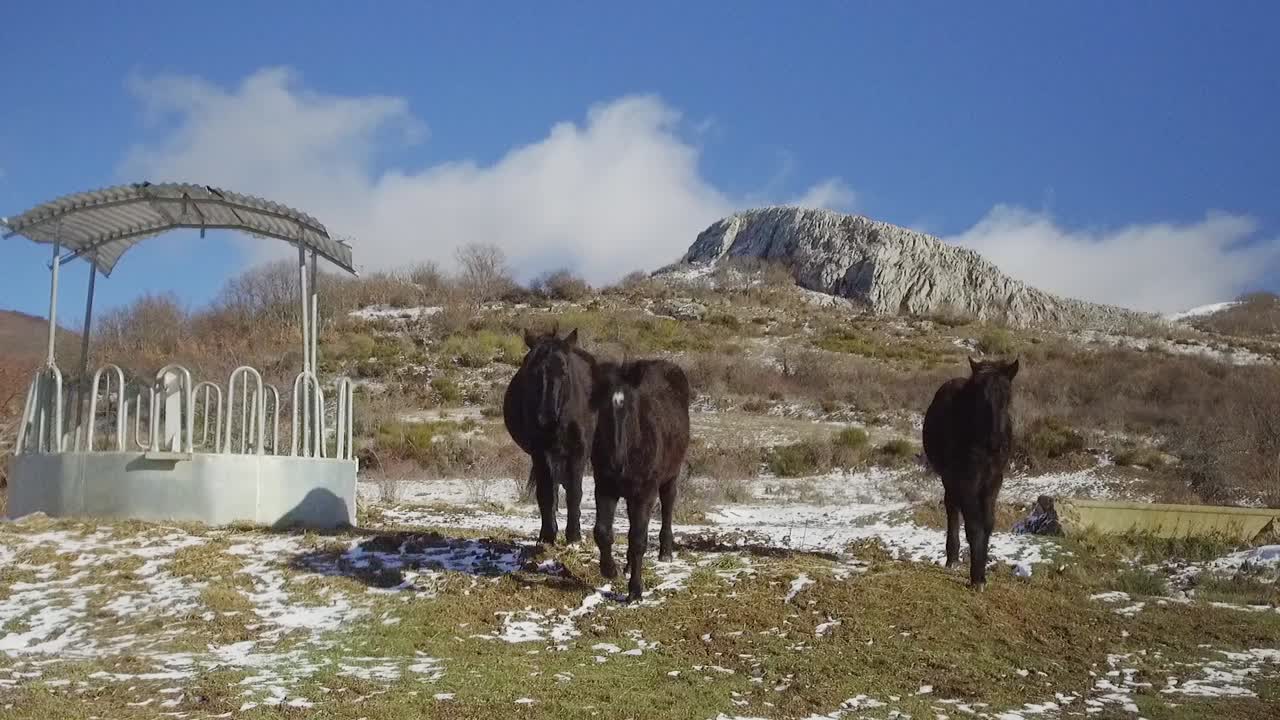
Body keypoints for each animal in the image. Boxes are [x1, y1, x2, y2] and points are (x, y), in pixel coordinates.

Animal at [502, 326, 597, 545]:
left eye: (564, 371)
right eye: (532, 371)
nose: (546, 418)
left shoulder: (579, 451)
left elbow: (574, 492)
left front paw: (574, 537)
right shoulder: (540, 451)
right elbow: (546, 493)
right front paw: (547, 536)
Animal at [589, 358, 691, 602]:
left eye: (630, 408)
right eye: (602, 410)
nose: (616, 463)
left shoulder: (645, 493)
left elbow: (638, 540)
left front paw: (635, 591)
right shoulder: (605, 488)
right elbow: (602, 531)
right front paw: (610, 569)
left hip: (670, 476)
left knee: (668, 506)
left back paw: (665, 552)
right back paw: (626, 566)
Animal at [921, 356, 1020, 590]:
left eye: (1008, 397)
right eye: (981, 398)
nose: (996, 443)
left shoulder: (993, 481)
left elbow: (988, 524)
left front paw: (981, 573)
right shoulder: (967, 482)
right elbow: (974, 526)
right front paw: (977, 579)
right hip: (949, 478)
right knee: (951, 507)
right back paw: (952, 558)